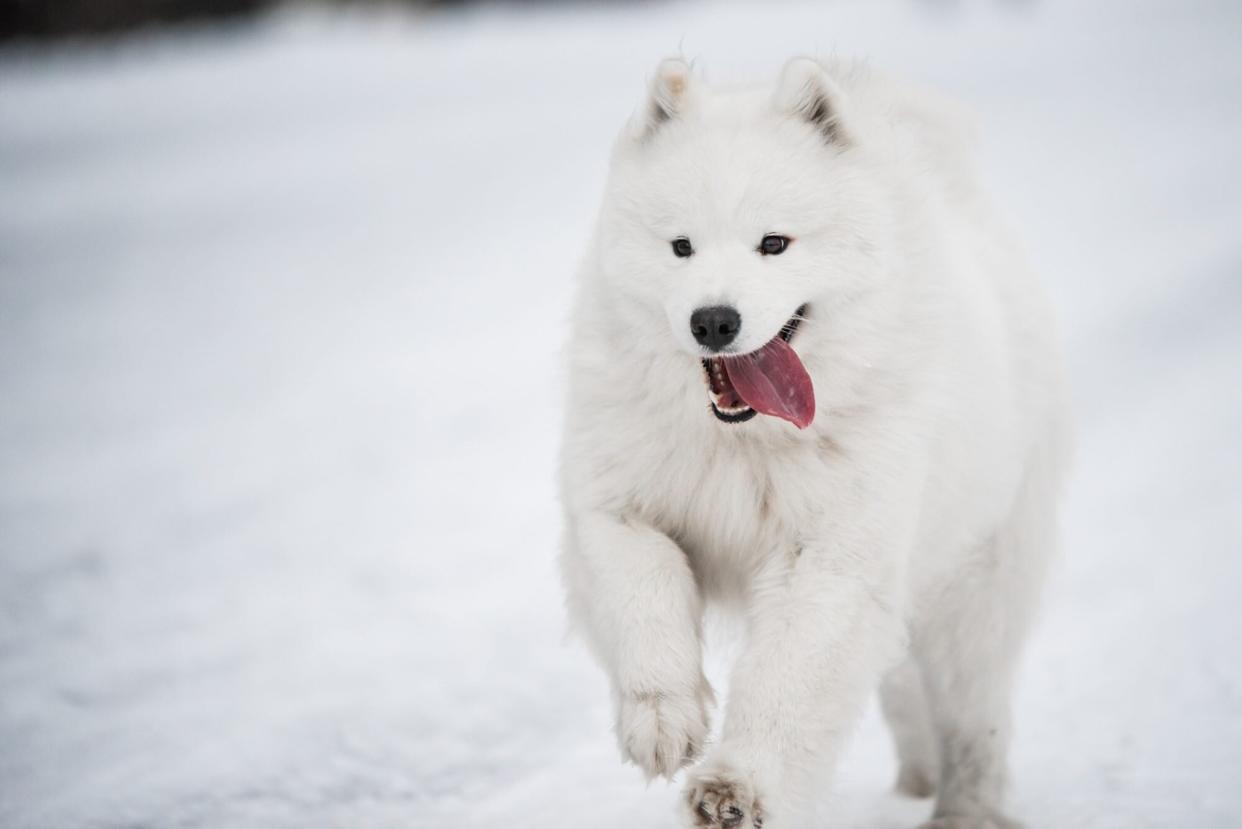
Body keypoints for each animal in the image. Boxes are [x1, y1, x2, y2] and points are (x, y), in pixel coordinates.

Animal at [561, 58, 1068, 829]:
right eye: (681, 246)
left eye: (774, 243)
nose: (713, 320)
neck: (740, 442)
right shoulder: (619, 506)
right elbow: (641, 590)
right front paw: (663, 721)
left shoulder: (832, 553)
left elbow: (789, 679)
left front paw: (734, 788)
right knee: (903, 683)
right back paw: (917, 777)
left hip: (977, 584)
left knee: (972, 713)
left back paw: (964, 807)